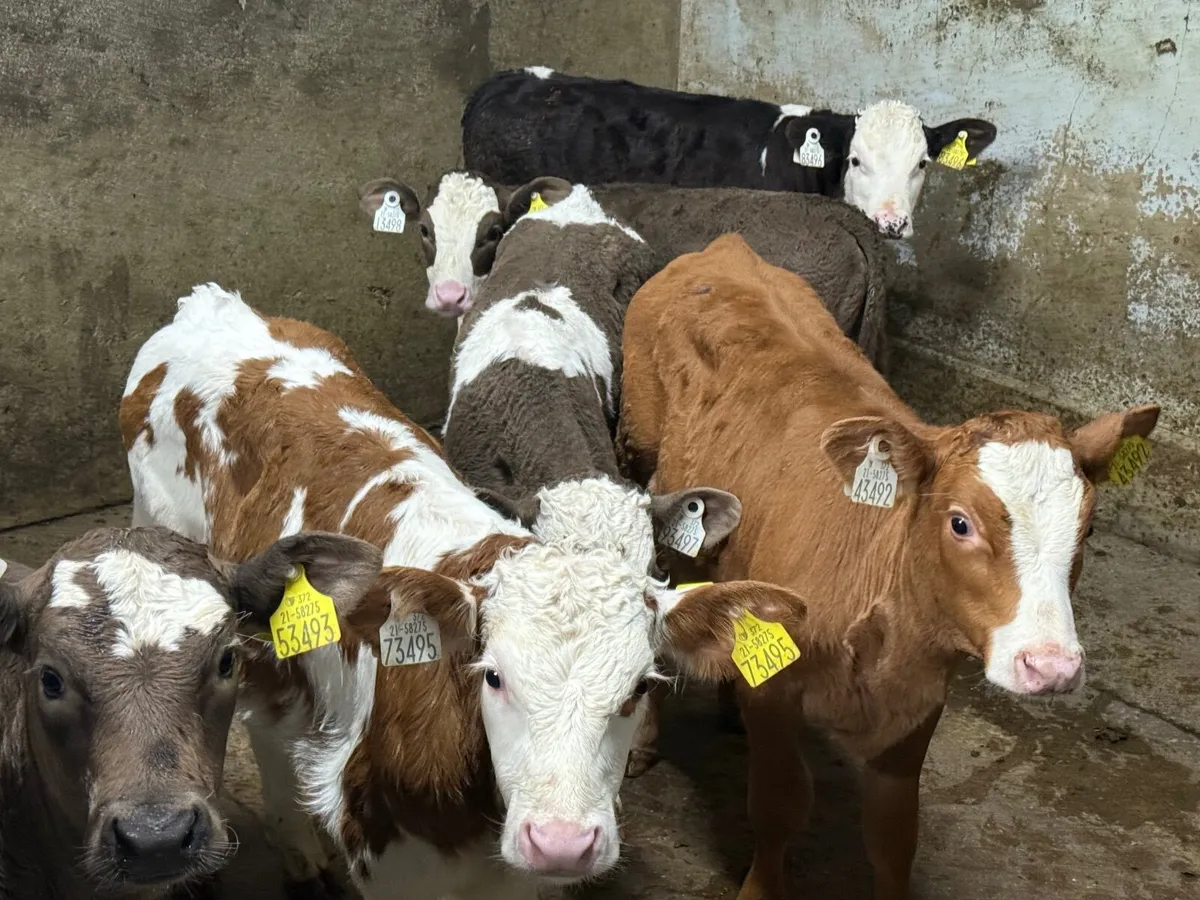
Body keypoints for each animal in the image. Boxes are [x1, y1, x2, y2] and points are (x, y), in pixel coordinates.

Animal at [616, 233, 1161, 900]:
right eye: (960, 523)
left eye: (1088, 528)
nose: (1051, 665)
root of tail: (726, 248)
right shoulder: (776, 693)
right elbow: (779, 805)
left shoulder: (917, 707)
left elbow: (894, 834)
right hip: (645, 463)